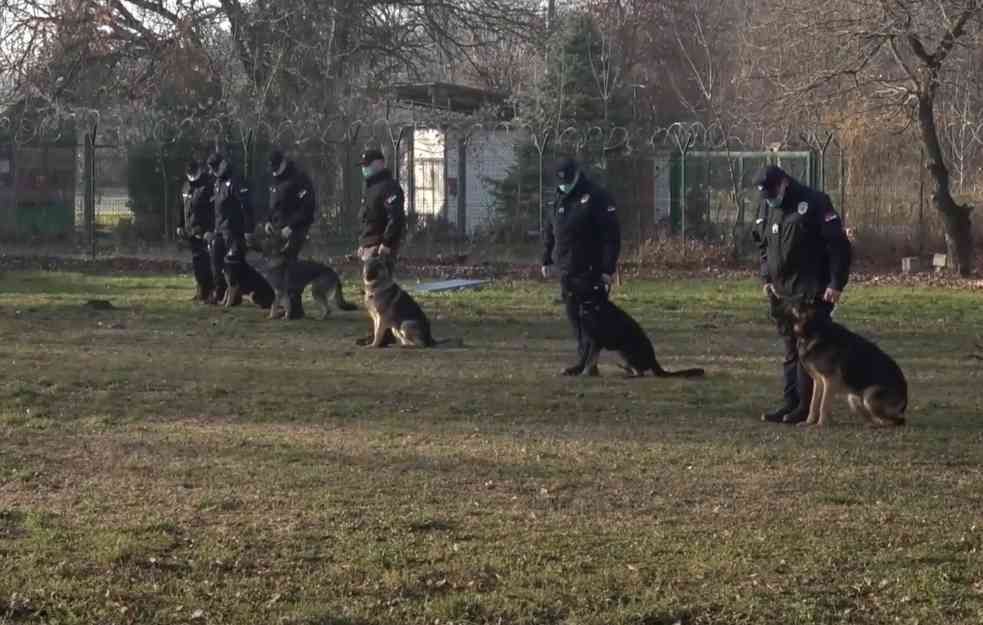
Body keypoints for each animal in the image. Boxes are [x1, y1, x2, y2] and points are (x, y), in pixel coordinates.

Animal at [576, 276, 708, 376]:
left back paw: (628, 373)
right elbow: (585, 357)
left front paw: (584, 373)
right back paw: (625, 369)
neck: (593, 304)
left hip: (626, 348)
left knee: (640, 372)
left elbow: (590, 360)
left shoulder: (596, 341)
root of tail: (653, 360)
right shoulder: (589, 339)